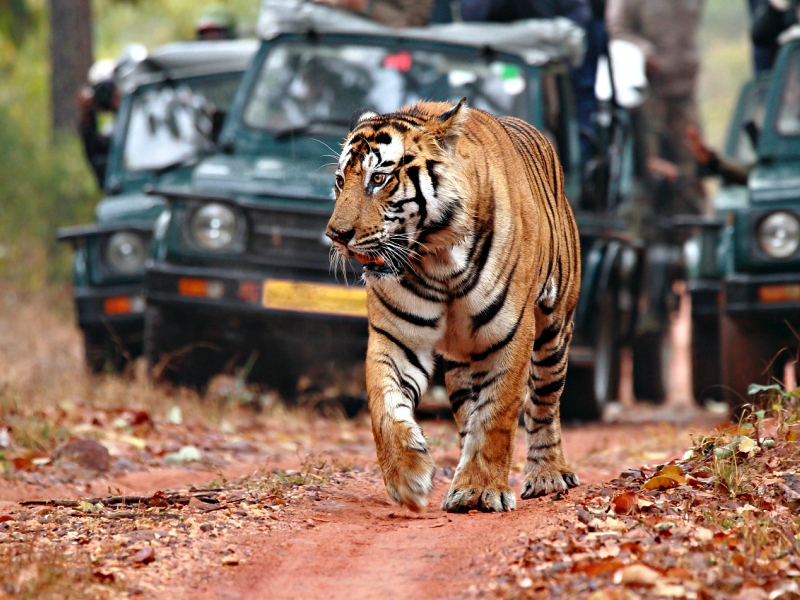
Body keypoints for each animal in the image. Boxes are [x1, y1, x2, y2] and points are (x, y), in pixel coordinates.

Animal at [324, 98, 580, 510]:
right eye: (339, 180)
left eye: (378, 179)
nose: (336, 235)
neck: (437, 259)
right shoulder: (396, 337)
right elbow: (384, 405)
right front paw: (408, 478)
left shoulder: (510, 334)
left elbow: (497, 414)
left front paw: (480, 490)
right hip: (462, 363)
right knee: (468, 412)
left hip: (554, 331)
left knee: (543, 403)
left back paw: (548, 475)